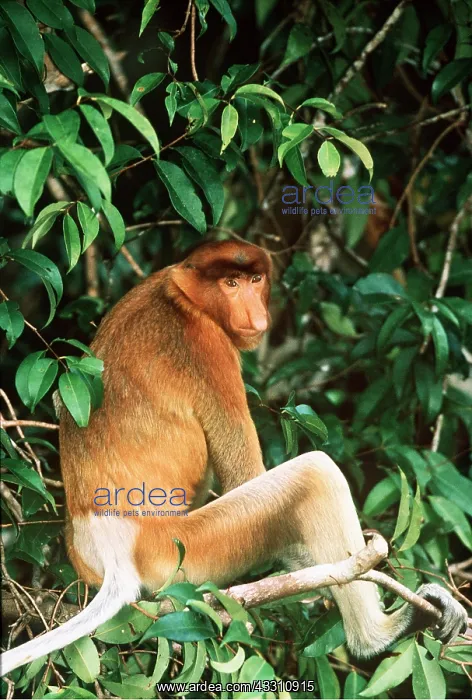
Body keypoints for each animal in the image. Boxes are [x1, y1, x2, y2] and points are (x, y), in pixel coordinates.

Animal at [1, 240, 467, 676]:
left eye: (254, 280)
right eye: (230, 283)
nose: (254, 311)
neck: (182, 296)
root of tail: (111, 548)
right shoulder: (208, 347)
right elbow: (246, 477)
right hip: (178, 551)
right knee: (315, 472)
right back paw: (377, 633)